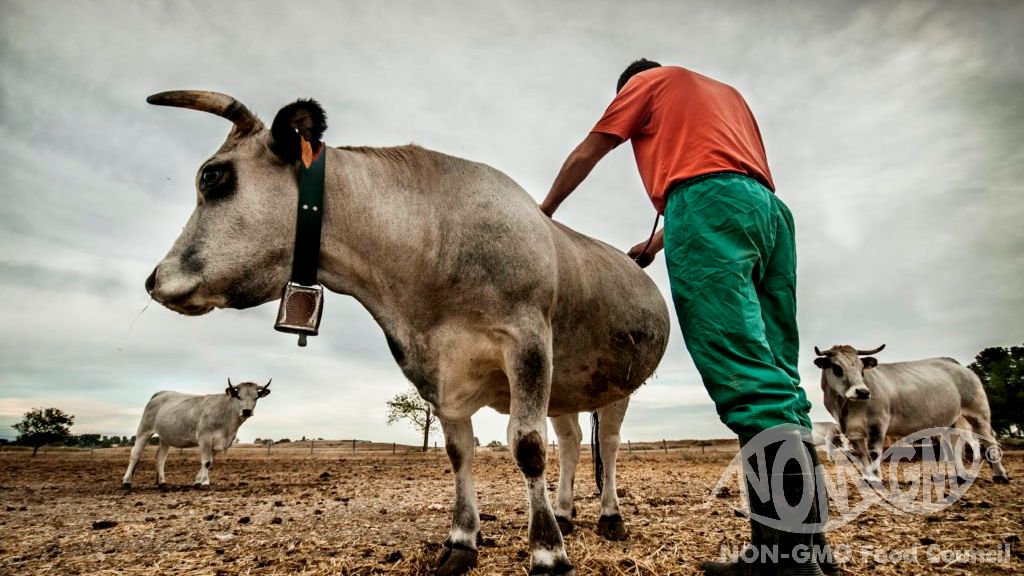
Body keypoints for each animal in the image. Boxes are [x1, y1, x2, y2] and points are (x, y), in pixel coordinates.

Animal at [121, 379, 272, 485]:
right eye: (238, 396)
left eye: (256, 397)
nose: (246, 411)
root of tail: (161, 393)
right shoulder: (204, 437)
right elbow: (206, 461)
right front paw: (204, 482)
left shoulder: (218, 442)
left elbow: (209, 461)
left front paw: (198, 480)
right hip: (144, 429)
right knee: (135, 454)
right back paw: (127, 481)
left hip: (165, 437)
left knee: (160, 458)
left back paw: (162, 482)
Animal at [142, 91, 671, 569]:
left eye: (212, 176)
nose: (153, 280)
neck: (433, 243)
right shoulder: (436, 368)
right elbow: (460, 452)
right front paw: (462, 540)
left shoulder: (528, 343)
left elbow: (527, 445)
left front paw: (546, 552)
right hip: (569, 384)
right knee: (573, 440)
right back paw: (563, 513)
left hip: (613, 384)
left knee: (608, 443)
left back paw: (609, 517)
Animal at [815, 342, 1007, 481]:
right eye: (837, 368)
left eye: (862, 369)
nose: (863, 392)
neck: (845, 407)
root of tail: (957, 365)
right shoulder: (853, 432)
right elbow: (862, 454)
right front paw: (867, 477)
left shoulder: (877, 423)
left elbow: (873, 452)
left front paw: (876, 479)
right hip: (951, 421)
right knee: (954, 445)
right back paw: (958, 475)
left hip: (978, 413)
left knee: (989, 439)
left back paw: (999, 474)